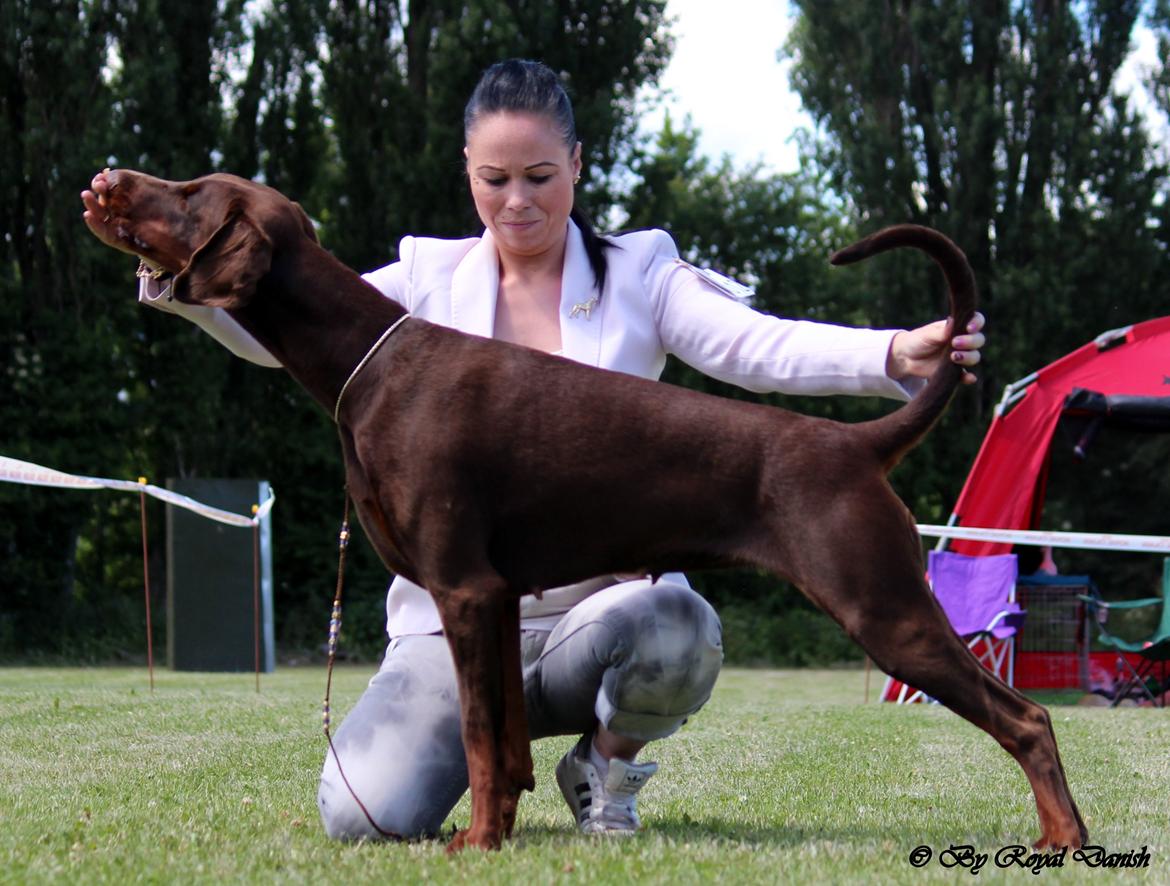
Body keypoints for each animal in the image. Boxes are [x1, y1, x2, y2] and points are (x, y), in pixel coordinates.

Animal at [93, 167, 1085, 852]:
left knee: (1028, 718)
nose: (108, 181)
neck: (364, 362)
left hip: (886, 609)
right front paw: (498, 833)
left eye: (189, 192)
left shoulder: (464, 586)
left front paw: (473, 845)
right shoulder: (492, 601)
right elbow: (501, 740)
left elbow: (482, 738)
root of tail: (851, 443)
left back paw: (1063, 839)